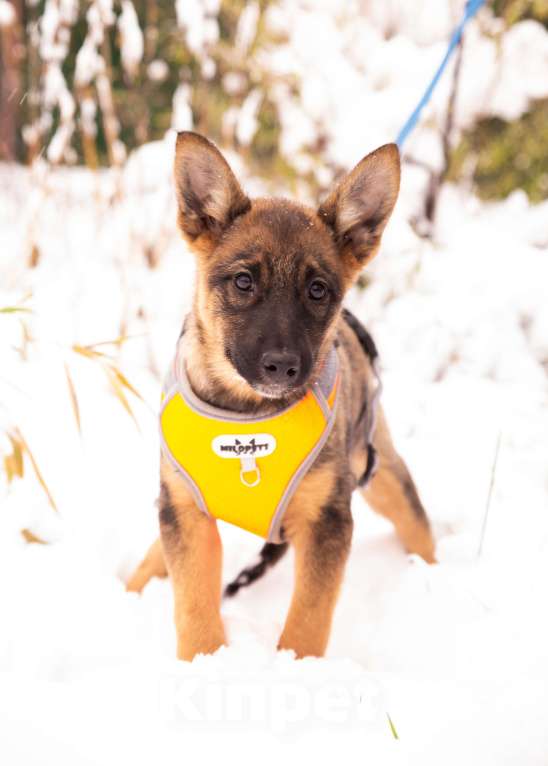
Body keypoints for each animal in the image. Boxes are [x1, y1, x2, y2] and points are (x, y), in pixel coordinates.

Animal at [126, 132, 434, 660]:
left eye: (318, 290)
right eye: (243, 281)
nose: (282, 366)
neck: (248, 417)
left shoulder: (327, 519)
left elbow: (308, 617)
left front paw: (296, 665)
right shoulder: (186, 512)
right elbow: (193, 604)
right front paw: (204, 662)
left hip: (380, 469)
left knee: (419, 527)